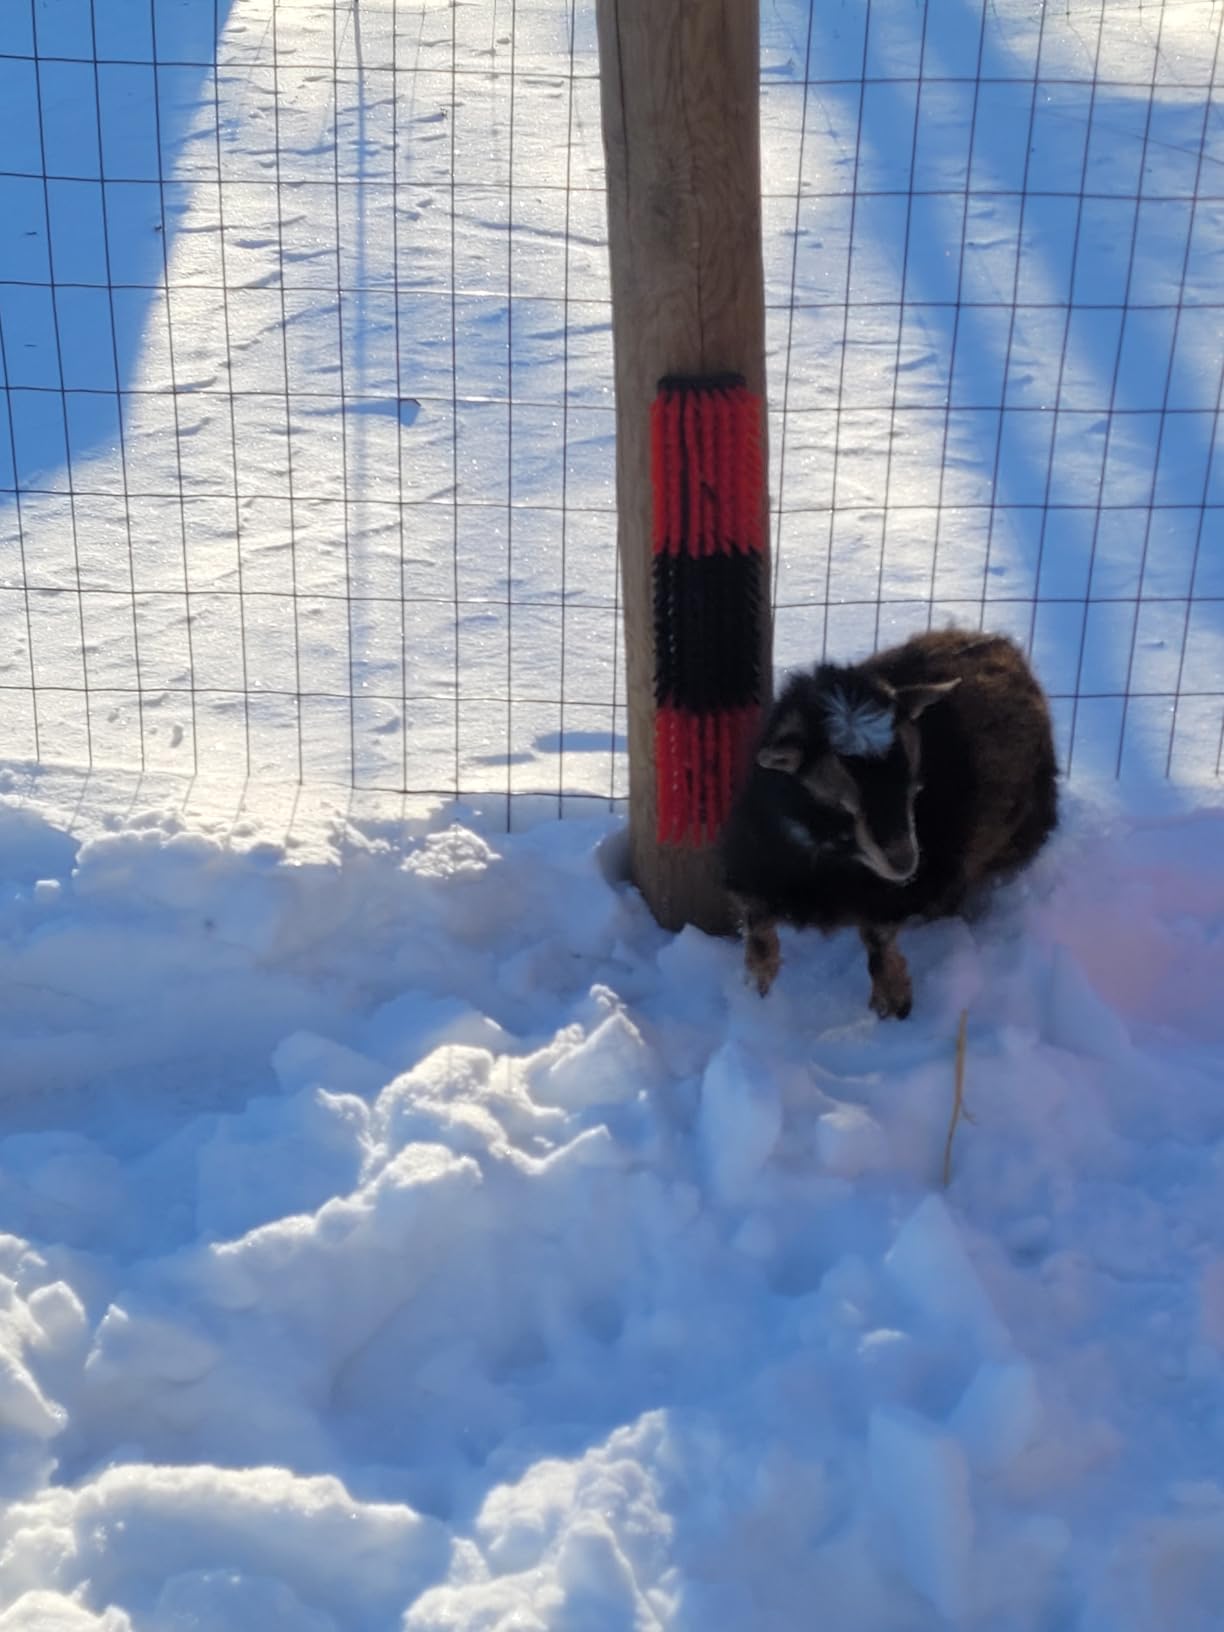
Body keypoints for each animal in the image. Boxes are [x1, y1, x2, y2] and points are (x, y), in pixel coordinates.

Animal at [719, 628, 1058, 1019]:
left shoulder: (899, 889)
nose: (904, 863)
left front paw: (893, 1001)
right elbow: (756, 920)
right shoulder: (755, 860)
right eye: (844, 804)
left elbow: (878, 937)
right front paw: (756, 983)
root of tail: (1004, 645)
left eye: (914, 787)